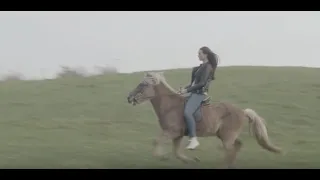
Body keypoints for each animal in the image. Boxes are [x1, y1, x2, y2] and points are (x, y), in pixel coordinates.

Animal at [126, 71, 282, 167]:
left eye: (143, 84)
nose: (129, 98)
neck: (170, 106)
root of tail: (243, 112)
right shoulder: (177, 135)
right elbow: (177, 153)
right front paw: (193, 160)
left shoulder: (172, 132)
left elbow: (157, 142)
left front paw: (163, 157)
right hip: (225, 135)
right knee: (237, 146)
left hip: (227, 137)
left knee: (231, 150)